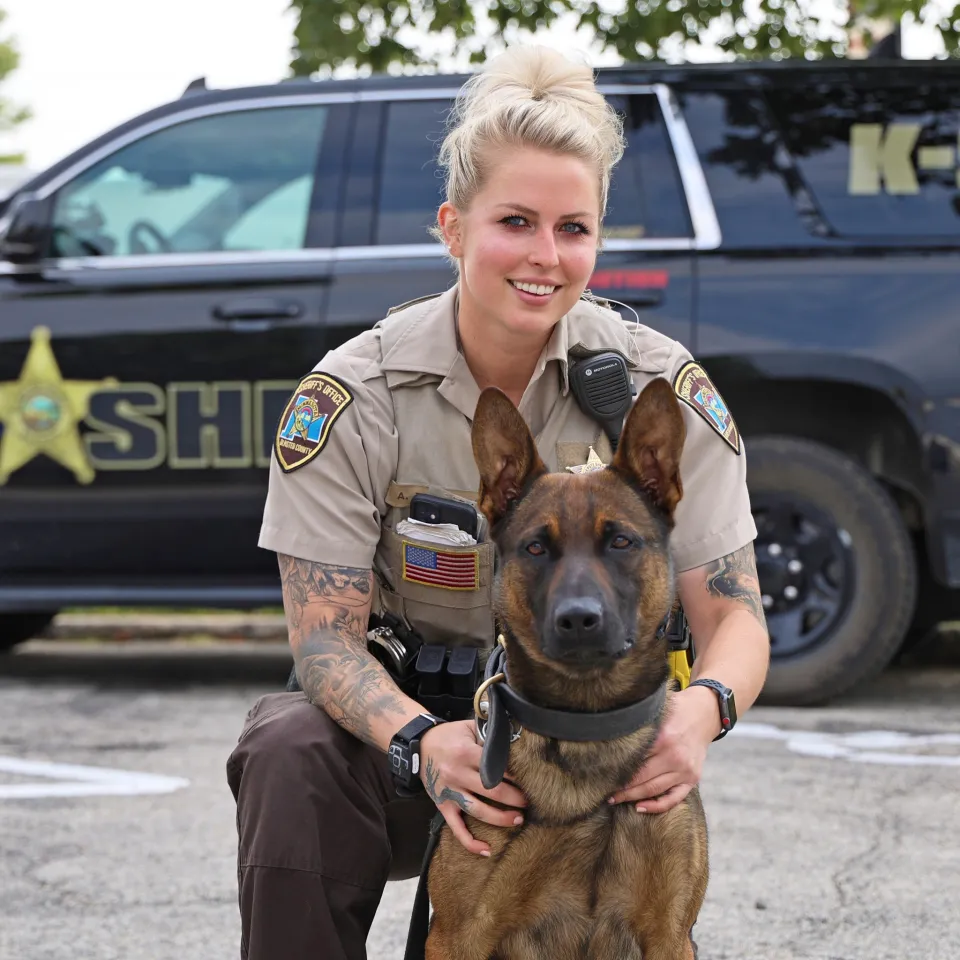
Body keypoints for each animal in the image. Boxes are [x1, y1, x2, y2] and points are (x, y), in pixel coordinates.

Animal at [424, 376, 708, 960]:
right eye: (536, 547)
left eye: (620, 540)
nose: (579, 620)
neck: (587, 732)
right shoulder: (457, 936)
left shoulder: (670, 936)